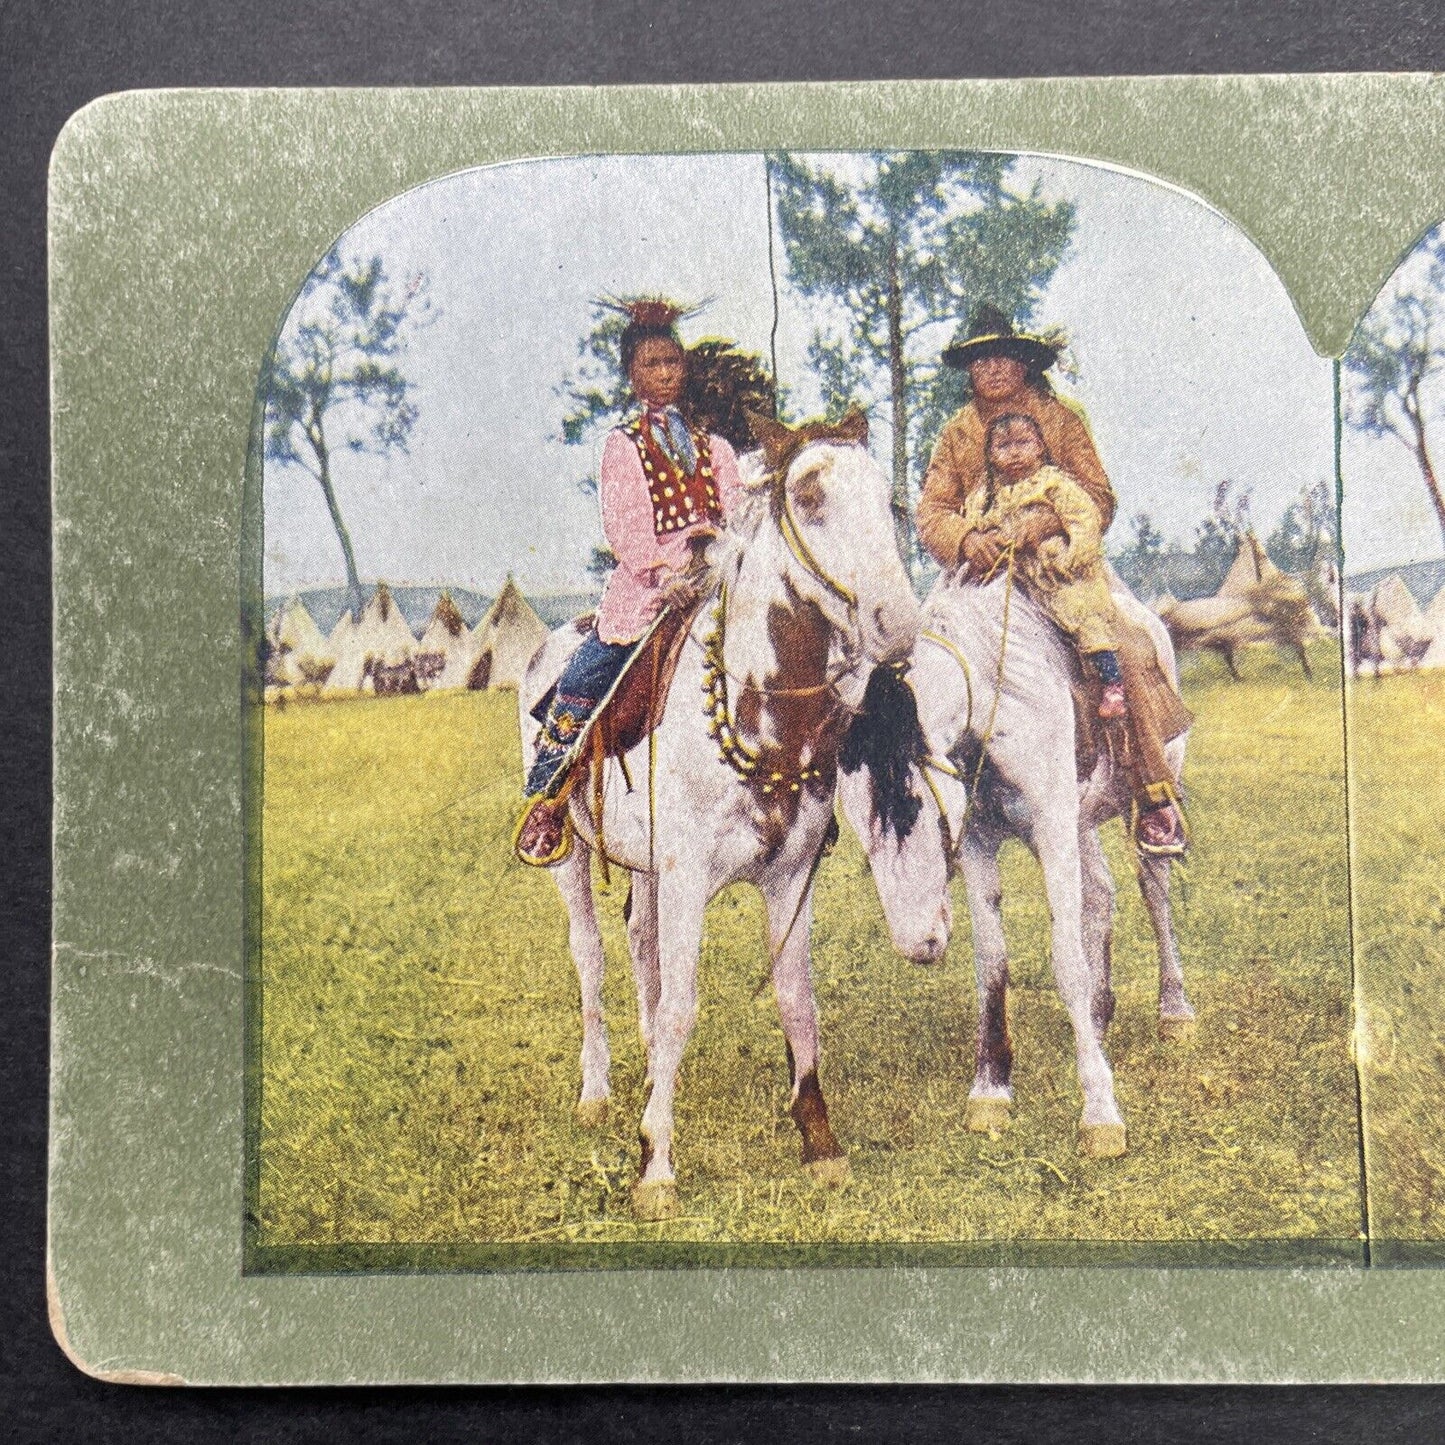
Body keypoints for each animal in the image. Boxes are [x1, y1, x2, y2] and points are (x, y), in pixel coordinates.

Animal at [520, 410, 913, 1219]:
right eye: (810, 497)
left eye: (890, 501)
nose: (898, 623)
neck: (755, 710)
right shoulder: (689, 876)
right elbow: (680, 1005)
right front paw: (654, 1163)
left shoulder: (788, 877)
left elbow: (796, 1002)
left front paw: (819, 1142)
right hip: (571, 857)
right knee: (591, 956)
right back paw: (598, 1092)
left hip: (646, 868)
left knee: (639, 942)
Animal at [843, 569, 1190, 1156]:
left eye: (910, 803)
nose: (917, 943)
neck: (992, 696)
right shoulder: (982, 839)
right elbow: (992, 962)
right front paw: (991, 1088)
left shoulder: (1051, 829)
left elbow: (1066, 961)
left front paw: (1100, 1112)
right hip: (1080, 821)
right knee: (1101, 895)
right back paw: (1097, 1021)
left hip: (1145, 798)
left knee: (1154, 891)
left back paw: (1174, 1011)